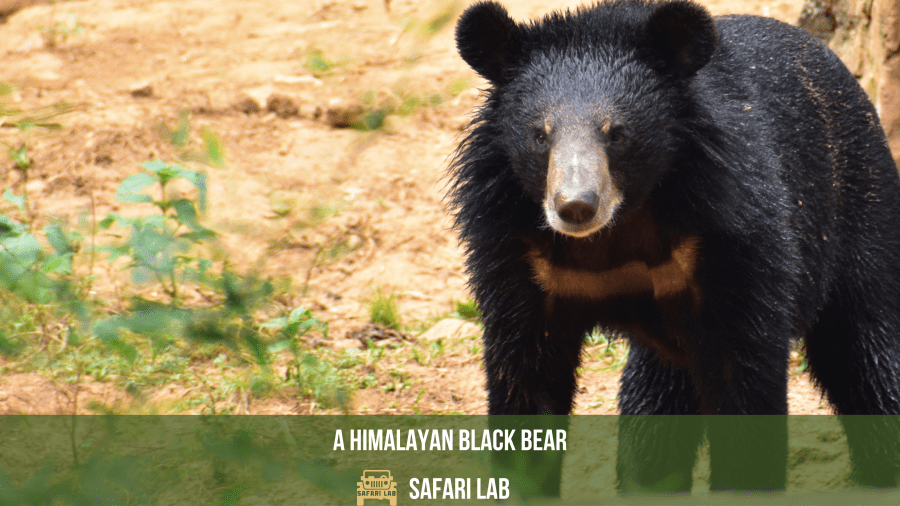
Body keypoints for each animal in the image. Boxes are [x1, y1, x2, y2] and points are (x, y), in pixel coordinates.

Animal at [450, 0, 900, 493]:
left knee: (866, 352)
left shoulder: (732, 234)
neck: (620, 224)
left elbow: (743, 375)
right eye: (540, 134)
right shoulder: (517, 253)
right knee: (653, 409)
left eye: (617, 133)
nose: (575, 207)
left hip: (860, 210)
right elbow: (527, 376)